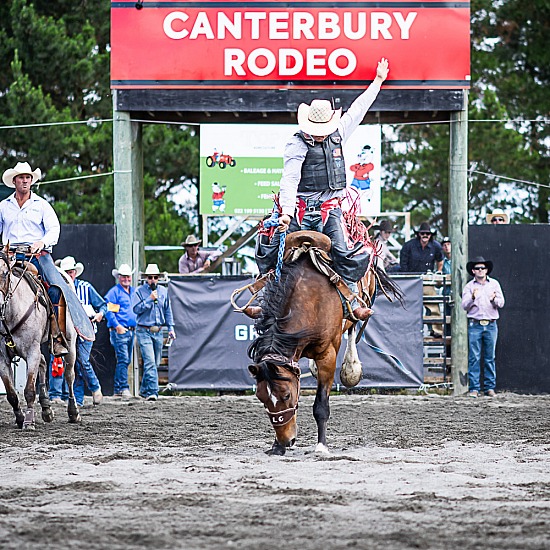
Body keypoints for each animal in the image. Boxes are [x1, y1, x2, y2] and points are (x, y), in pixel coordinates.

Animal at [0, 249, 80, 432]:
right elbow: (11, 394)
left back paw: (73, 412)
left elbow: (29, 389)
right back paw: (46, 408)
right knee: (43, 362)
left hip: (70, 343)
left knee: (69, 374)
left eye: (5, 273)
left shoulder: (32, 351)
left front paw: (29, 422)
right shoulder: (2, 357)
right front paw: (20, 418)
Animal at [249, 231, 402, 454]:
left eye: (286, 396)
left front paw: (321, 446)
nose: (286, 440)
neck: (308, 298)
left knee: (354, 326)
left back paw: (351, 366)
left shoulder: (328, 355)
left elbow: (320, 405)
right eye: (261, 398)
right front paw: (276, 446)